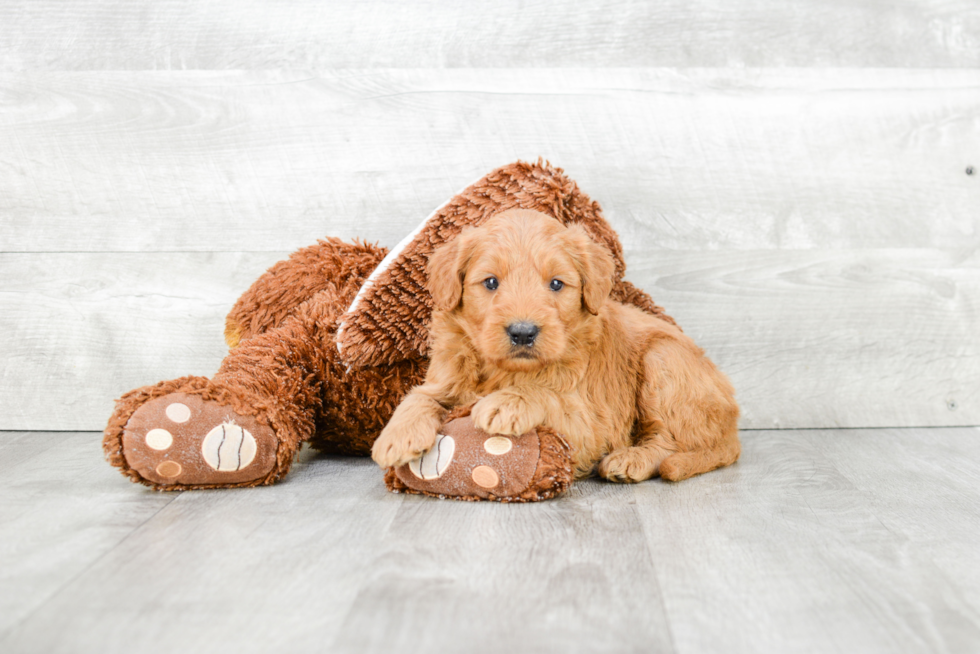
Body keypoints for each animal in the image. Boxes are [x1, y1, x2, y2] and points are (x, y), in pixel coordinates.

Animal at [372, 211, 740, 486]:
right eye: (490, 282)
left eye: (556, 284)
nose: (523, 332)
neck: (505, 371)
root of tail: (733, 427)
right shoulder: (445, 378)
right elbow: (419, 396)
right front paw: (396, 436)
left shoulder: (591, 424)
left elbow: (548, 394)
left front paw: (508, 402)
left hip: (662, 361)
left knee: (668, 442)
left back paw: (631, 459)